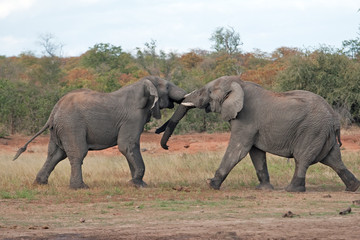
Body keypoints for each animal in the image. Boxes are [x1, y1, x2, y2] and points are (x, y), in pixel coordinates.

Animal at [13, 76, 188, 188]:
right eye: (167, 87)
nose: (167, 146)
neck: (142, 83)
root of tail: (53, 111)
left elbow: (129, 148)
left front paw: (137, 183)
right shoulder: (133, 118)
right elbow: (127, 146)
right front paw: (138, 184)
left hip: (60, 129)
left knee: (55, 154)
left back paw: (40, 183)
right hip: (71, 125)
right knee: (77, 153)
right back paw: (80, 187)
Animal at [158, 76, 360, 192]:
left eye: (206, 92)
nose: (166, 146)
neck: (239, 84)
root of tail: (334, 118)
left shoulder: (246, 120)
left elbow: (238, 149)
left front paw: (210, 184)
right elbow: (255, 153)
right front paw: (264, 189)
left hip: (312, 131)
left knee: (303, 159)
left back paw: (291, 190)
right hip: (323, 133)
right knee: (334, 160)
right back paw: (352, 188)